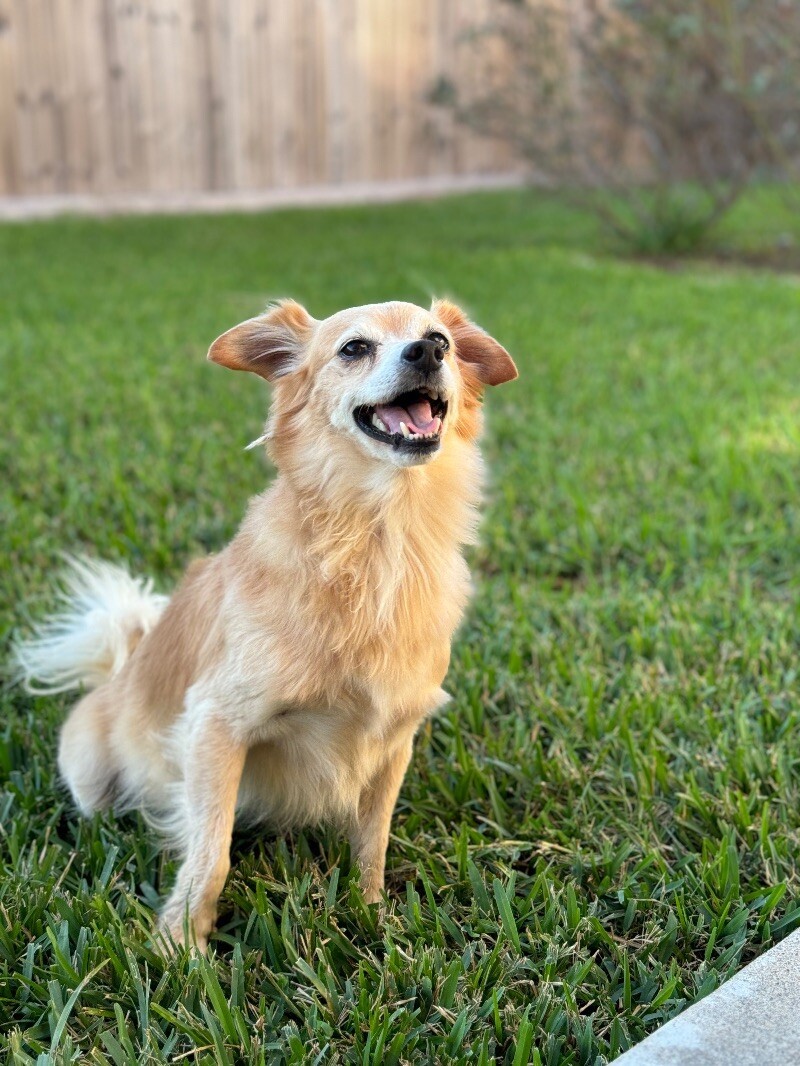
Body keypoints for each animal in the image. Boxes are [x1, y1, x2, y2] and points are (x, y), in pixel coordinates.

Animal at [18, 298, 520, 950]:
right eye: (354, 349)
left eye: (442, 342)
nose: (428, 352)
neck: (377, 540)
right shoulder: (214, 725)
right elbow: (213, 852)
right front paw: (181, 946)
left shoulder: (393, 740)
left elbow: (373, 842)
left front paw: (372, 915)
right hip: (90, 776)